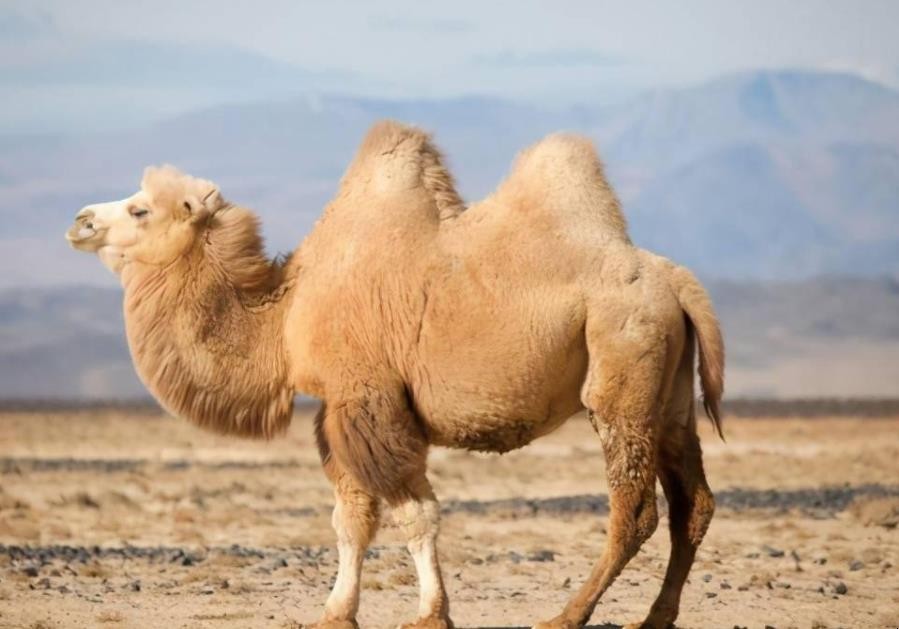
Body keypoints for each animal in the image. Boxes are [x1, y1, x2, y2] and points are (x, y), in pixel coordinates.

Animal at [65, 121, 724, 628]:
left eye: (140, 208)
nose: (79, 220)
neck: (284, 314)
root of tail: (677, 280)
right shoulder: (337, 408)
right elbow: (352, 519)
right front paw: (336, 612)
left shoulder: (369, 398)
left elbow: (412, 512)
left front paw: (431, 613)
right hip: (669, 395)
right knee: (693, 503)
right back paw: (655, 617)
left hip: (621, 368)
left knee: (634, 509)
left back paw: (566, 615)